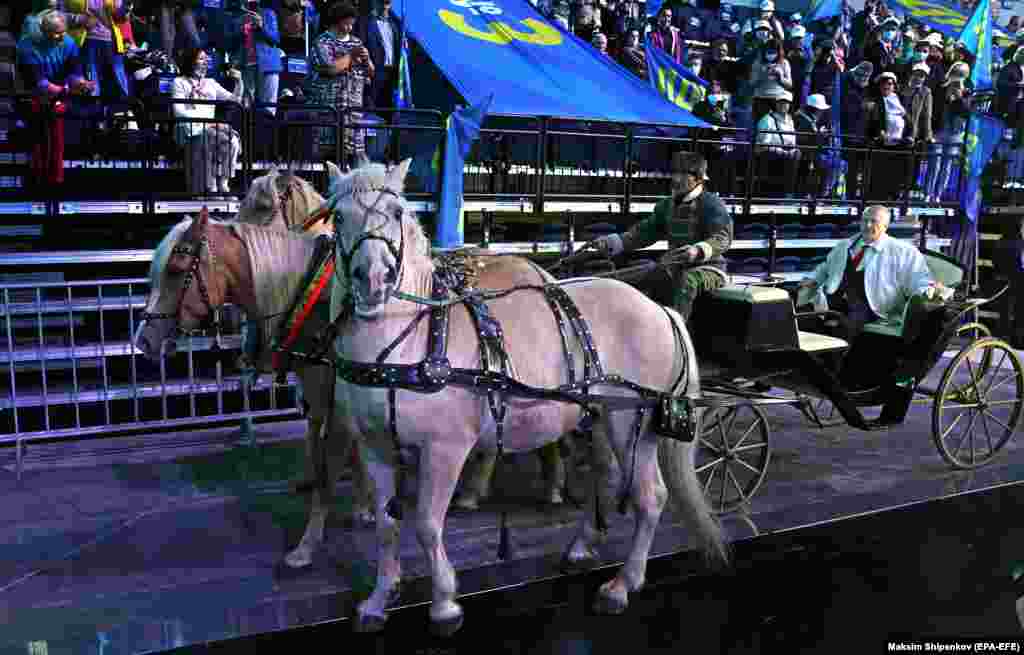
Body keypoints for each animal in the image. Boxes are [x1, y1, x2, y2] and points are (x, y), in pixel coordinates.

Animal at [327, 159, 729, 634]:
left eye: (395, 211)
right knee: (607, 479)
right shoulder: (376, 448)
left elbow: (426, 523)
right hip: (599, 417)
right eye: (338, 217)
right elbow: (387, 527)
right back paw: (583, 546)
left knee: (650, 497)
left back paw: (621, 585)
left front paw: (444, 604)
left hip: (635, 421)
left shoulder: (445, 448)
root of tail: (658, 309)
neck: (411, 339)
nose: (373, 281)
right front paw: (377, 600)